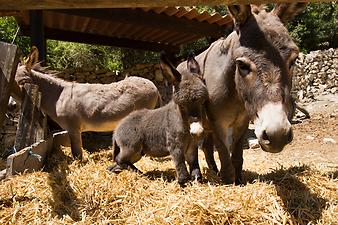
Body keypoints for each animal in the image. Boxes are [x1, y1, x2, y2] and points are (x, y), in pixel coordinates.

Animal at [108, 53, 209, 185]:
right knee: (120, 159)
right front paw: (183, 183)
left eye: (203, 102)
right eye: (181, 105)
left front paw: (197, 180)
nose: (197, 131)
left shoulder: (191, 147)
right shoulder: (175, 146)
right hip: (131, 148)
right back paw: (139, 173)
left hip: (137, 153)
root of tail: (116, 129)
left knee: (118, 163)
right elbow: (180, 165)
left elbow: (194, 164)